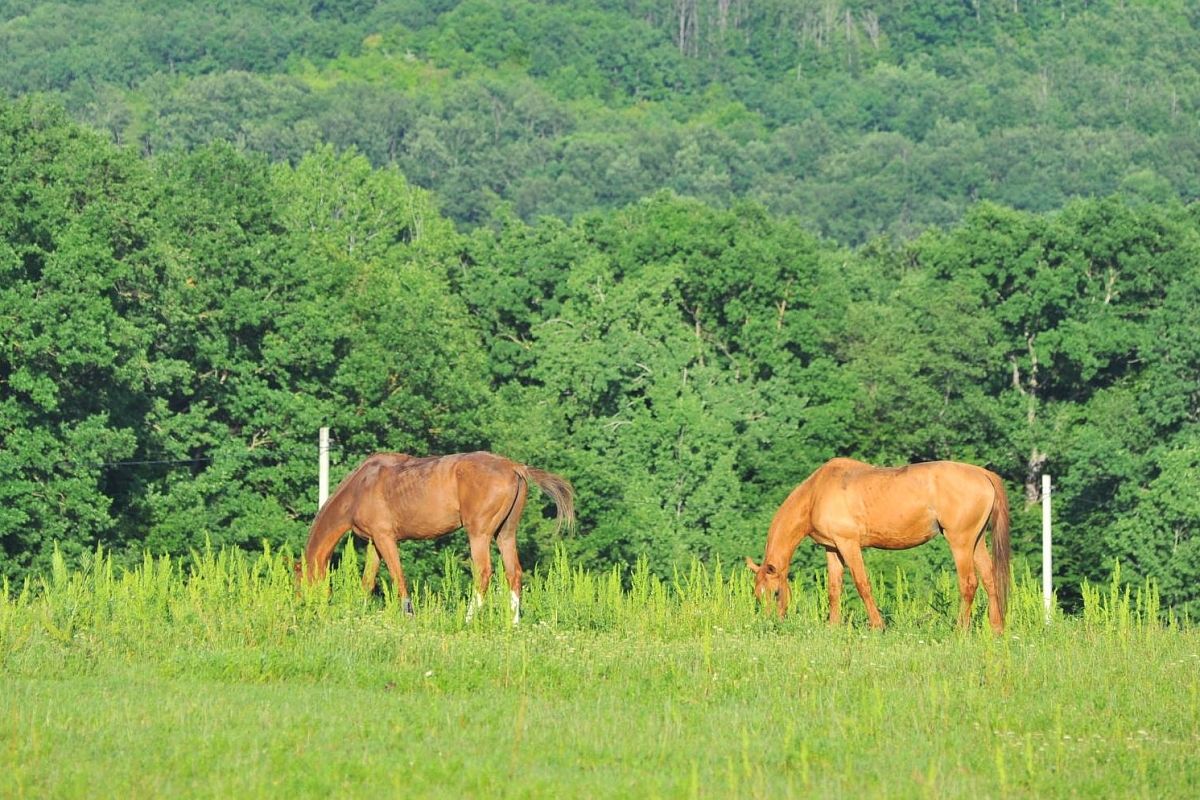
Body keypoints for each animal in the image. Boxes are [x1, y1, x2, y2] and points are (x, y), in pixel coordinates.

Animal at [304, 453, 576, 623]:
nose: (304, 606)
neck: (361, 487)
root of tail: (514, 467)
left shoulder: (385, 538)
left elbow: (397, 576)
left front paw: (408, 614)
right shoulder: (375, 543)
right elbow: (367, 581)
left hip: (479, 534)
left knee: (483, 573)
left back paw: (468, 619)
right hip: (505, 534)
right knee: (514, 573)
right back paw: (514, 622)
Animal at [744, 460, 1008, 633]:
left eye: (776, 593)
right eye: (757, 596)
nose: (770, 623)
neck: (816, 493)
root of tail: (983, 474)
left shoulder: (848, 544)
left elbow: (862, 584)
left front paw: (877, 626)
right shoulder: (833, 549)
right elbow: (834, 588)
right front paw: (833, 626)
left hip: (960, 542)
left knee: (969, 583)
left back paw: (960, 630)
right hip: (977, 541)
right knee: (990, 579)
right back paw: (996, 628)